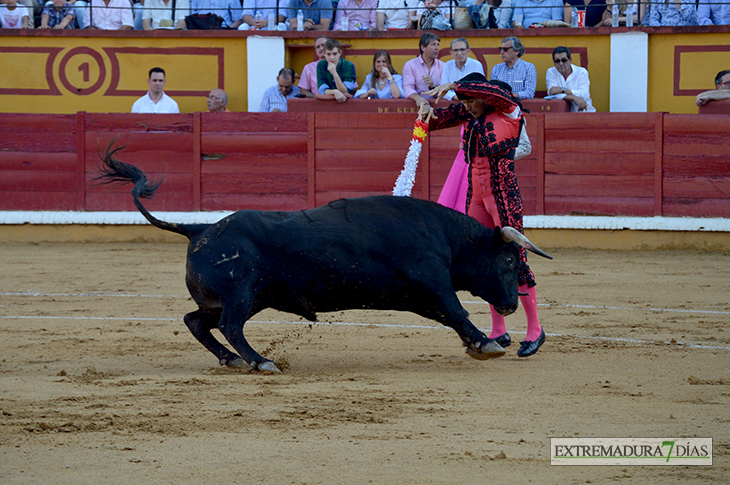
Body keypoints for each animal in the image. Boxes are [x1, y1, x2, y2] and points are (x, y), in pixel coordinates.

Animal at [98, 146, 552, 372]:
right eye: (508, 262)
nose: (510, 305)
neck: (443, 235)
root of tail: (199, 229)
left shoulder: (422, 295)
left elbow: (449, 316)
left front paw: (478, 344)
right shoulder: (431, 279)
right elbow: (457, 310)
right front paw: (486, 343)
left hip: (240, 298)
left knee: (197, 321)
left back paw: (231, 360)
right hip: (242, 294)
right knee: (230, 325)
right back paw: (260, 362)